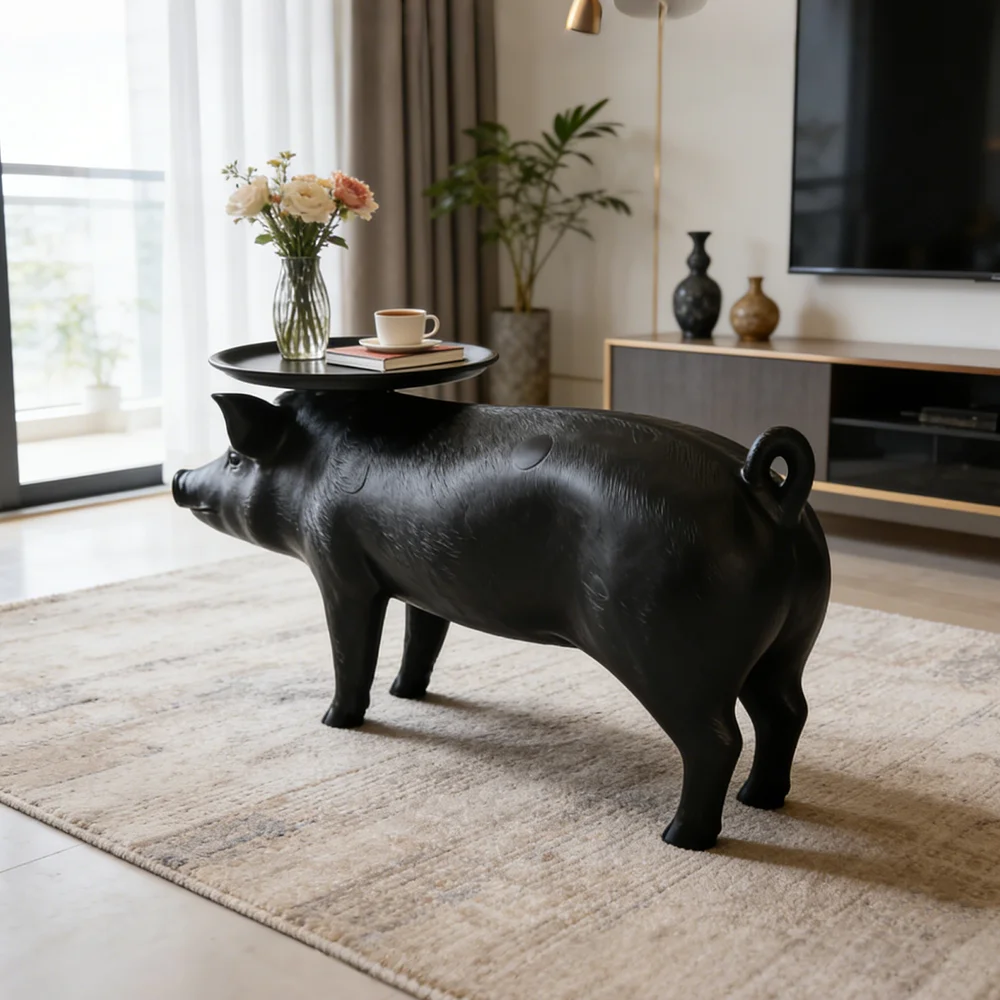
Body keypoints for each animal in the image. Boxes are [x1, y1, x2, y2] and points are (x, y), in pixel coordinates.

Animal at [173, 390, 831, 850]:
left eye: (234, 458)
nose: (179, 477)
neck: (311, 470)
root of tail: (762, 492)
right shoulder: (422, 581)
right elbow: (424, 639)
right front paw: (407, 693)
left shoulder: (340, 569)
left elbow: (350, 650)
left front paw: (337, 720)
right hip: (789, 643)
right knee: (787, 712)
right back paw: (761, 800)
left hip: (667, 650)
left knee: (719, 740)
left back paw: (682, 837)